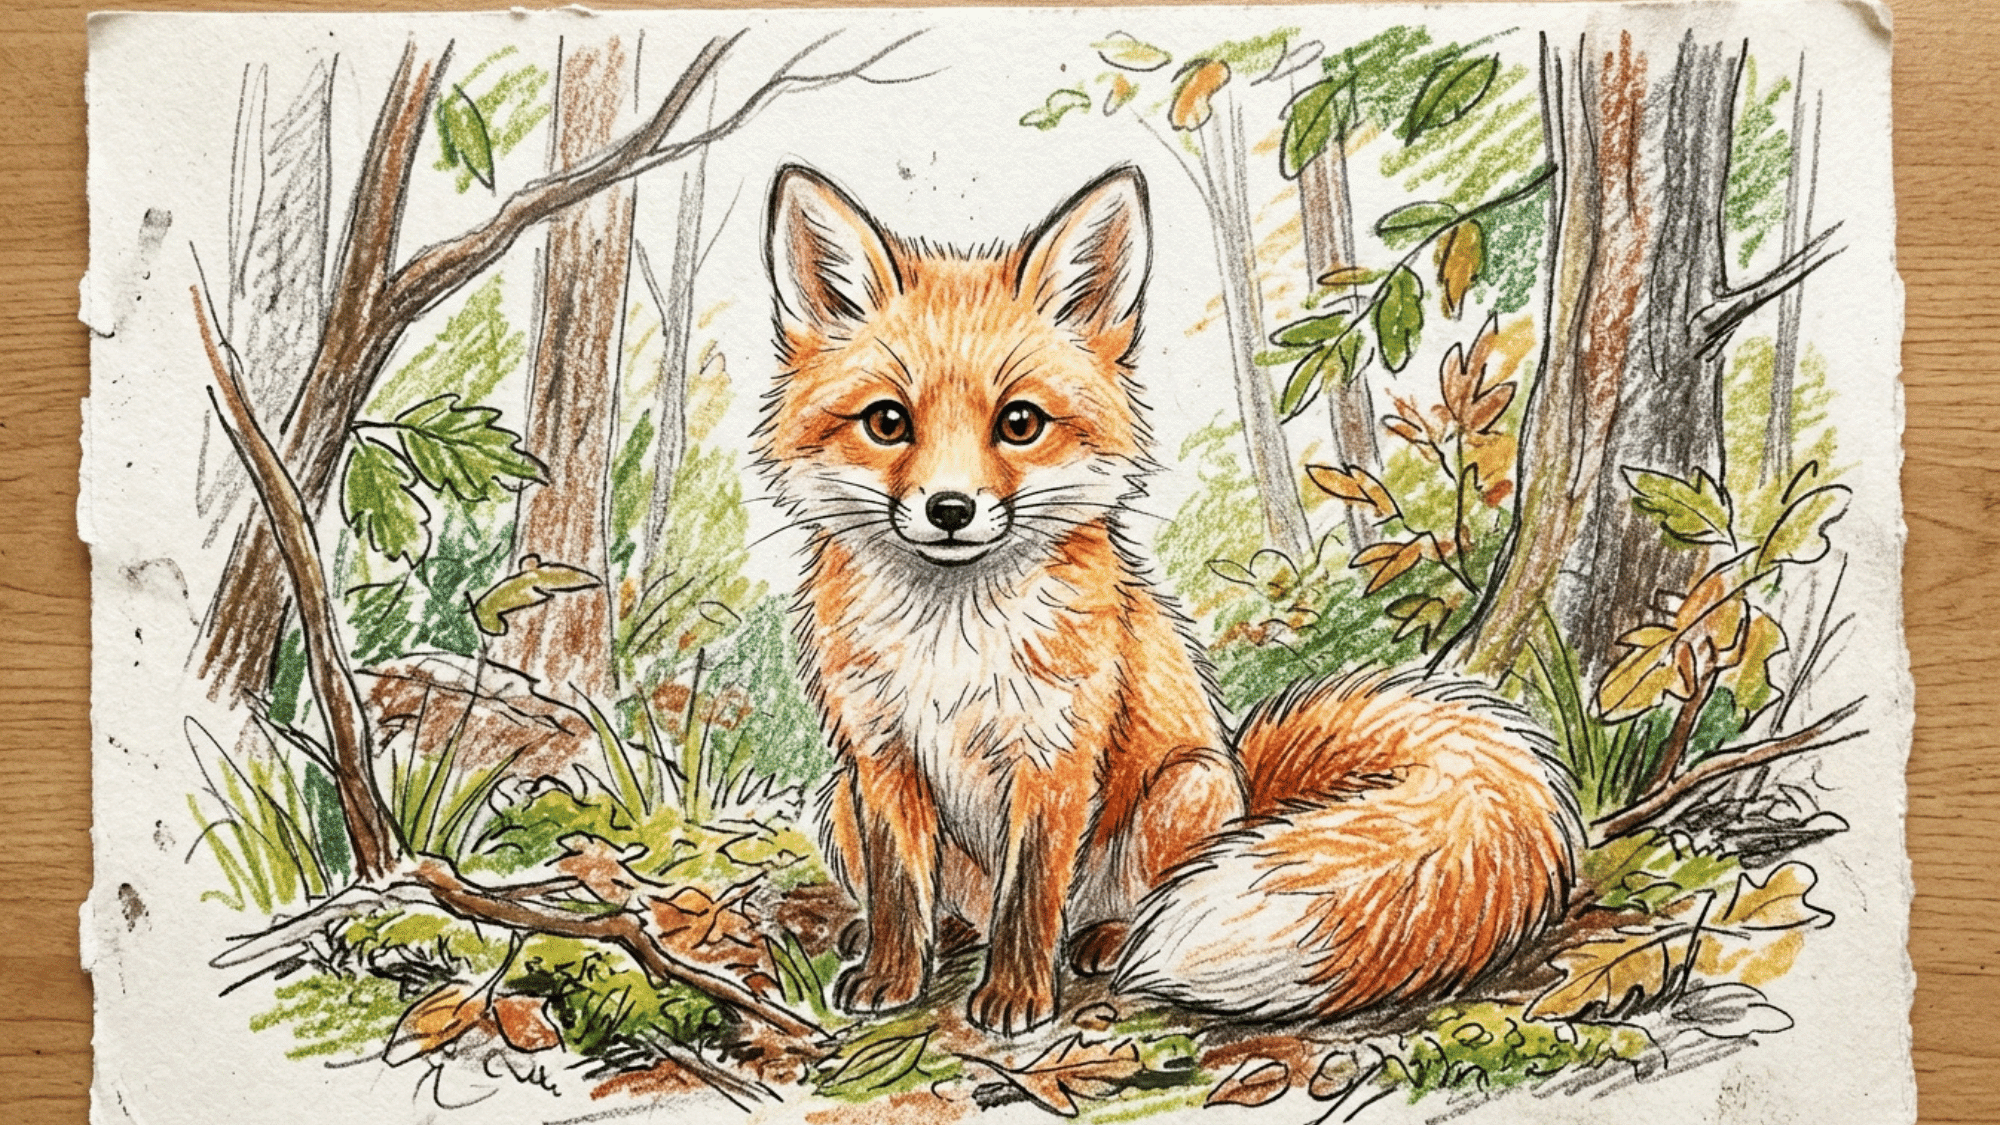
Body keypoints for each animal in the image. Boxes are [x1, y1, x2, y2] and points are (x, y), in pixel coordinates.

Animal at [755, 161, 1582, 1035]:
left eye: (1019, 422)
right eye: (887, 421)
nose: (950, 509)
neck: (951, 641)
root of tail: (1245, 777)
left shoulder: (1055, 755)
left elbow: (1031, 897)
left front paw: (1016, 993)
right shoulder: (881, 754)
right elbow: (899, 888)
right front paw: (892, 973)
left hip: (1181, 791)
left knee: (1107, 907)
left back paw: (1106, 942)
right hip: (836, 801)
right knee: (956, 907)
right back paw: (932, 934)